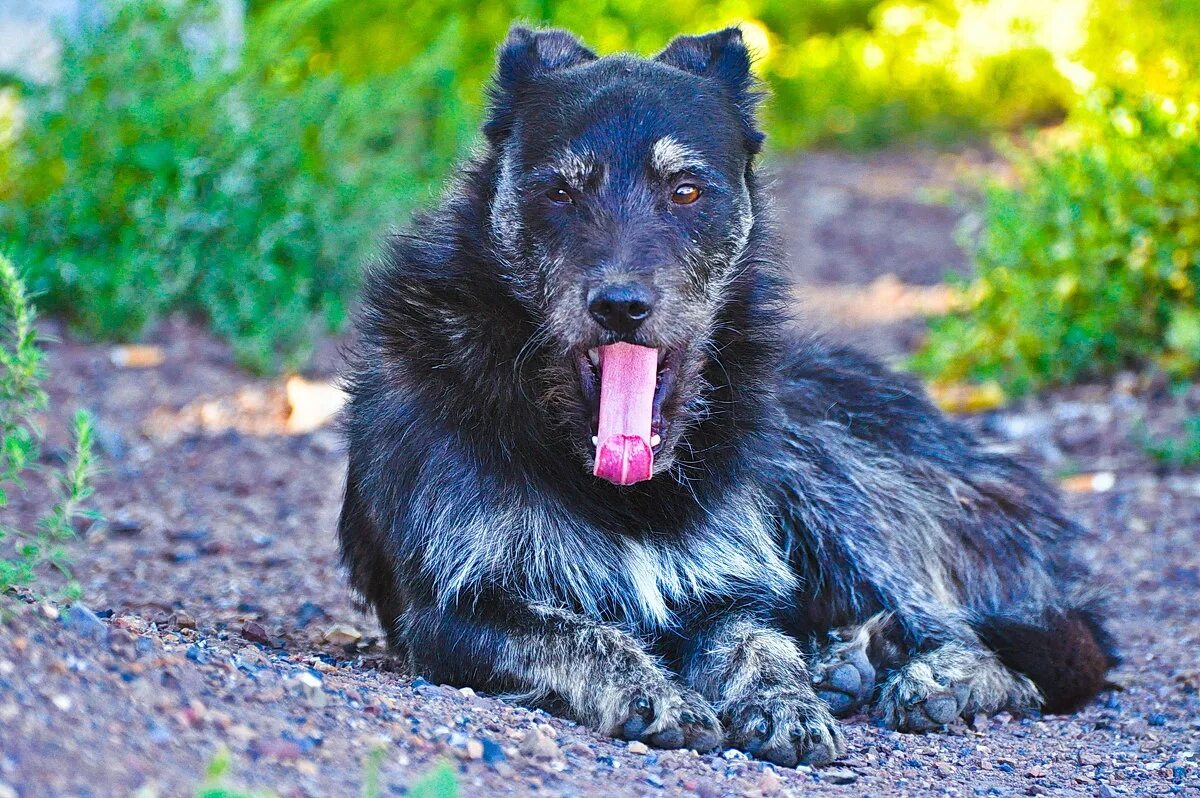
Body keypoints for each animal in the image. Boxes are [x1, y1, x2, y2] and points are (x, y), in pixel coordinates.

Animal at [333, 21, 1108, 763]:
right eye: (560, 191)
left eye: (685, 190)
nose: (621, 306)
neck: (627, 492)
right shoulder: (457, 611)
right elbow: (584, 635)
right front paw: (655, 693)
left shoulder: (728, 594)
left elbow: (759, 644)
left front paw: (789, 702)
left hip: (835, 478)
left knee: (990, 648)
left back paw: (925, 676)